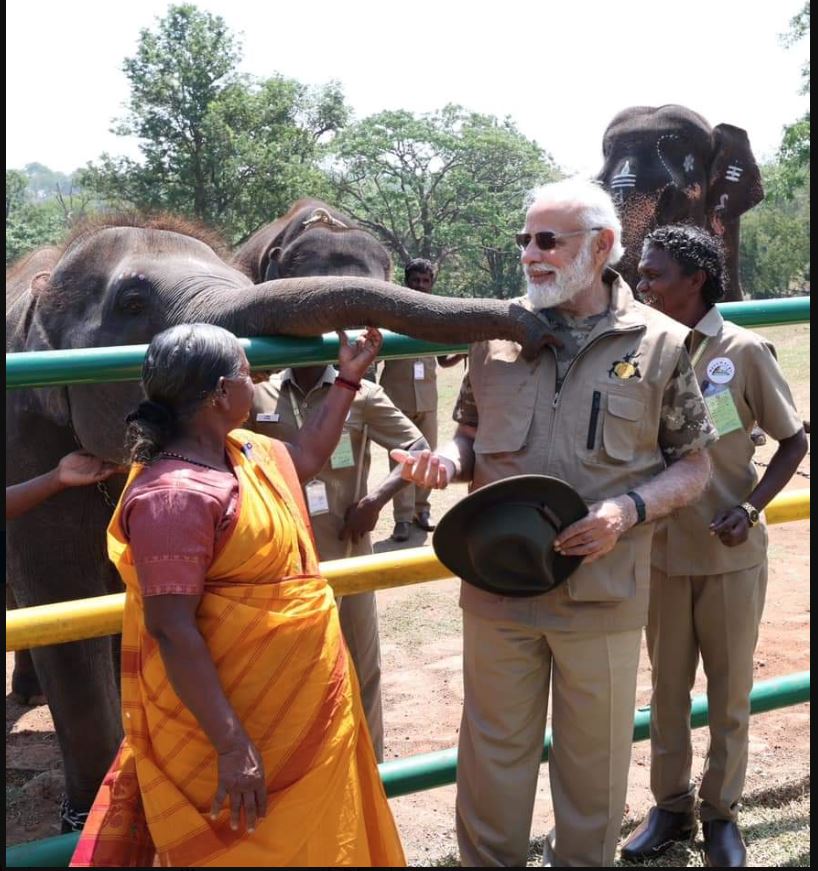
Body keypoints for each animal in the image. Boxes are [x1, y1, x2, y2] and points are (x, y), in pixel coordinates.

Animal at [6, 209, 556, 824]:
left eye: (243, 282)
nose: (539, 332)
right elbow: (58, 596)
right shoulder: (27, 434)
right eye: (130, 302)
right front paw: (89, 815)